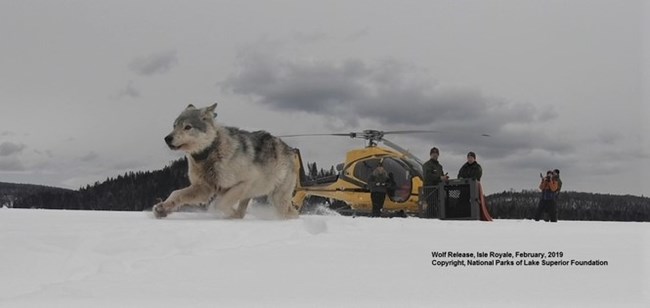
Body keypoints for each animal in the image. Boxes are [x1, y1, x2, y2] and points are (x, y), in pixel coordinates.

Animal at [154, 103, 298, 219]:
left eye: (187, 127)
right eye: (174, 126)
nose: (167, 138)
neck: (210, 152)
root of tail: (289, 148)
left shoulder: (245, 182)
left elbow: (219, 204)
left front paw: (231, 215)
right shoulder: (202, 188)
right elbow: (175, 193)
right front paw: (162, 208)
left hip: (277, 198)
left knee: (291, 213)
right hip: (250, 196)